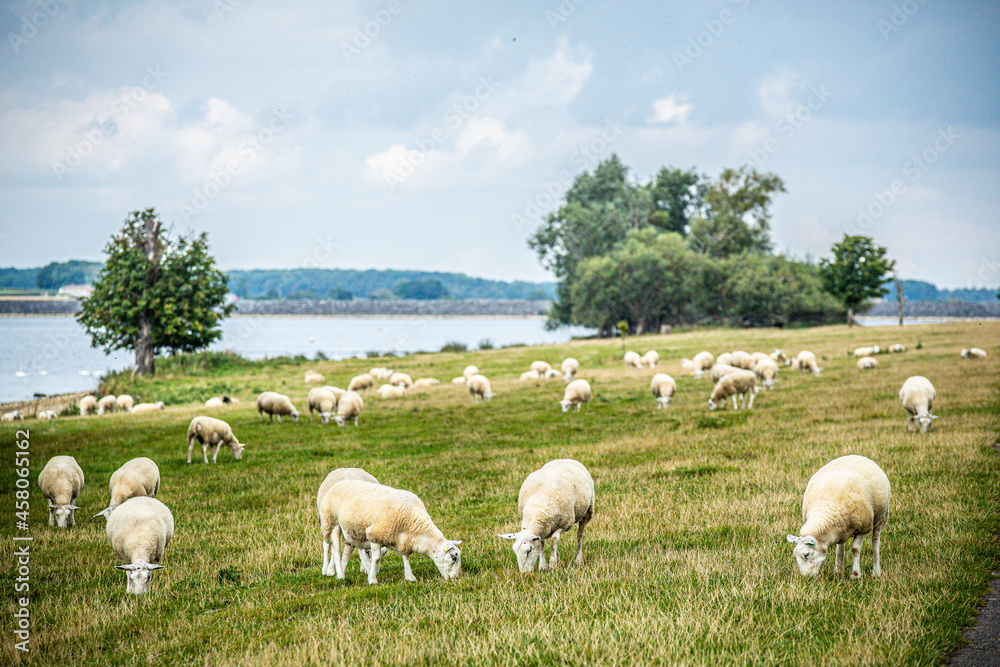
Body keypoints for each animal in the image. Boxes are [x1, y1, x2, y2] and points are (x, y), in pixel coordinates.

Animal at [320, 479, 462, 583]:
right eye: (454, 557)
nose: (456, 578)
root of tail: (338, 483)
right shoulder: (375, 535)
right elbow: (376, 558)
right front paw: (372, 580)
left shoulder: (404, 541)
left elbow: (406, 557)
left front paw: (410, 577)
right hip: (331, 522)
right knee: (335, 550)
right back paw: (338, 574)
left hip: (352, 532)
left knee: (346, 552)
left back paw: (342, 573)